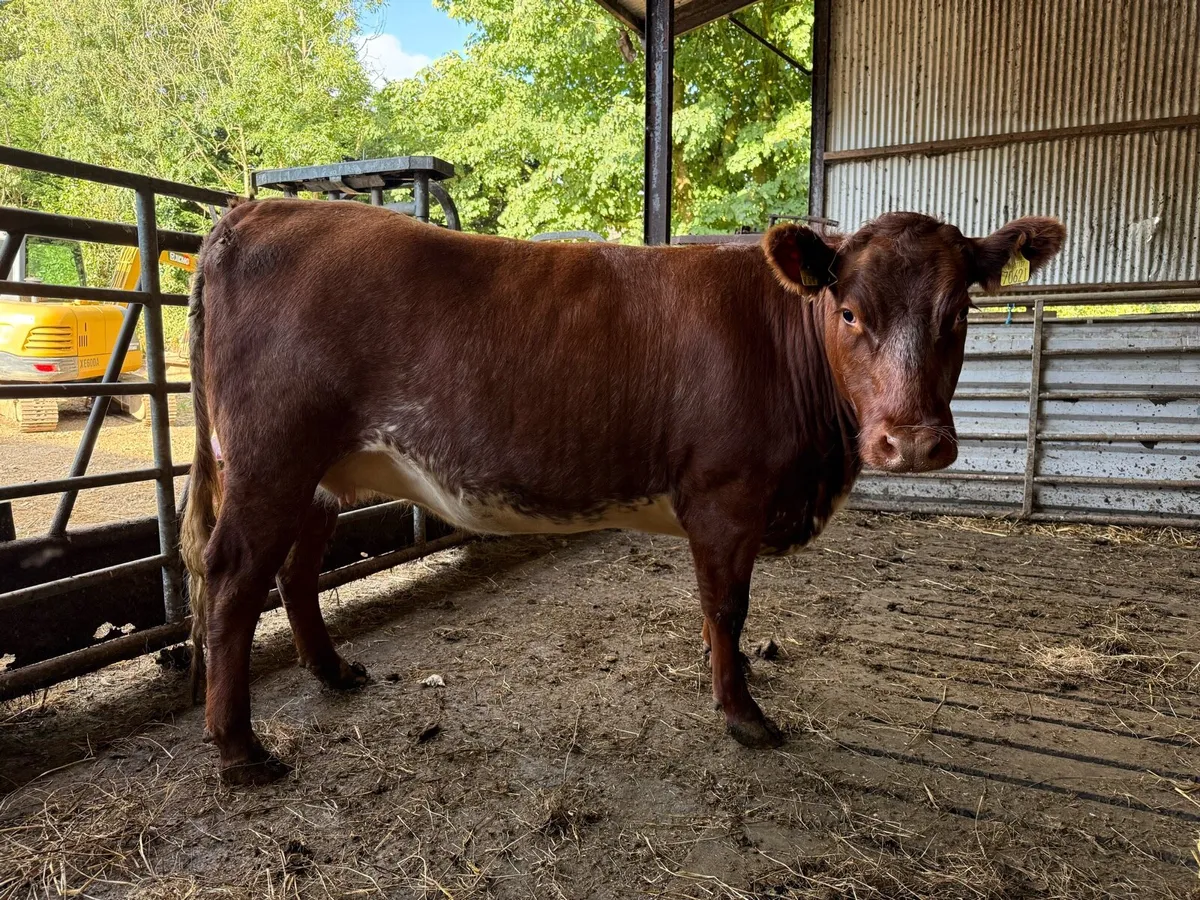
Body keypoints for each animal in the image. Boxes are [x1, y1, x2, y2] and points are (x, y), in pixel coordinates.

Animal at [181, 200, 1064, 784]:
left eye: (958, 312)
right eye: (847, 311)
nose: (911, 442)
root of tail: (254, 211)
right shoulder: (723, 497)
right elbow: (726, 608)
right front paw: (743, 714)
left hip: (318, 474)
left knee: (296, 570)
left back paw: (333, 674)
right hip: (270, 460)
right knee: (232, 581)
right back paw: (240, 750)